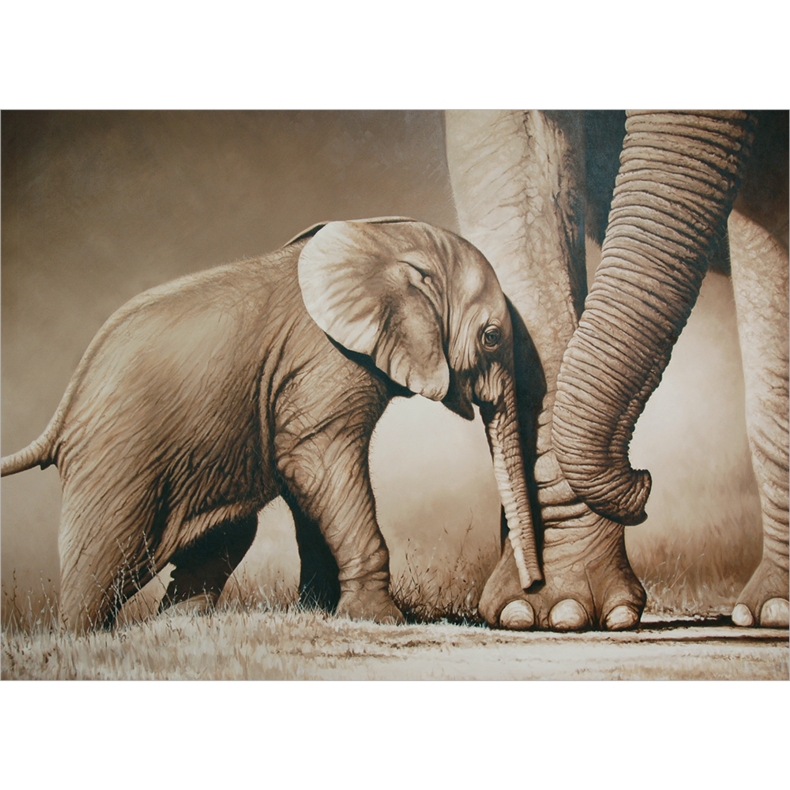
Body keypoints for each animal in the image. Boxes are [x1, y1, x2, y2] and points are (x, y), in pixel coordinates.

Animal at [1, 217, 540, 632]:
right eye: (492, 337)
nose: (532, 590)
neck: (388, 239)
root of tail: (62, 414)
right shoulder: (324, 362)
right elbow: (314, 463)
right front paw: (379, 620)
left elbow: (308, 484)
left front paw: (321, 611)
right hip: (117, 460)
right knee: (109, 556)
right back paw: (83, 637)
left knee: (228, 534)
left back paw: (180, 627)